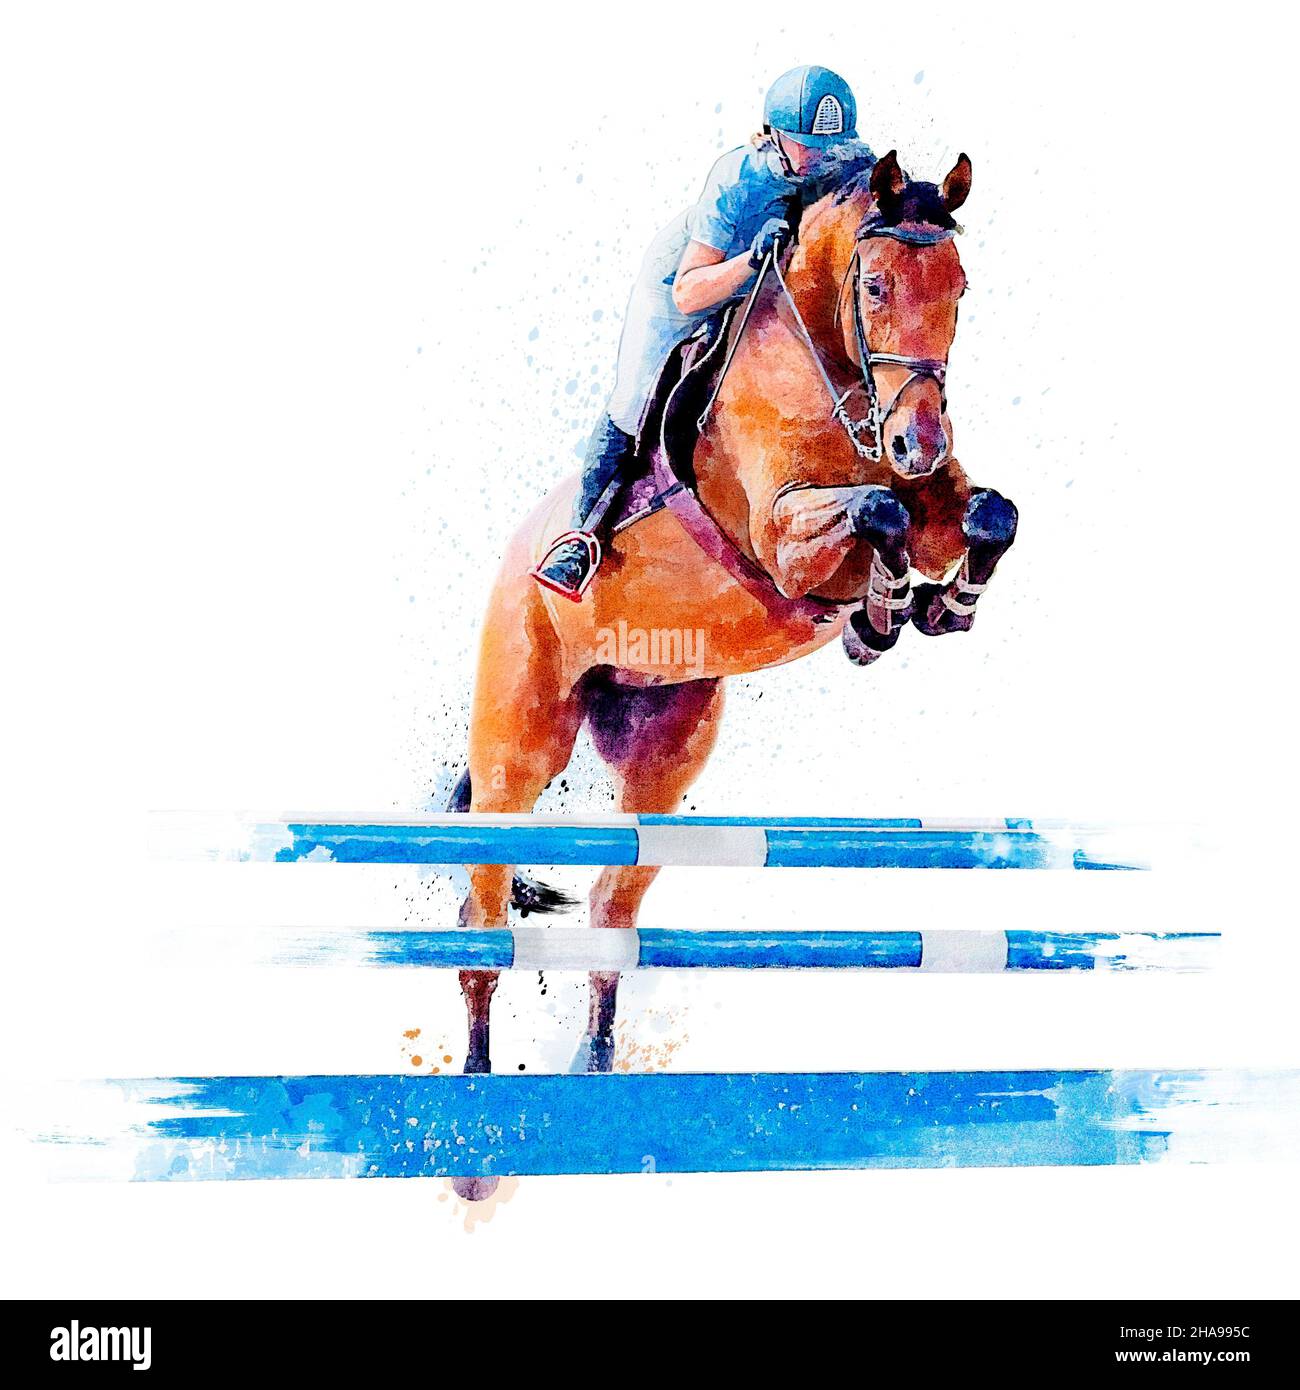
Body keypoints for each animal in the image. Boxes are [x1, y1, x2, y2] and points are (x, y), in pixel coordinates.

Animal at [448, 151, 1017, 1196]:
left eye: (960, 289)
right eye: (876, 286)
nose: (921, 441)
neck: (837, 374)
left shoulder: (935, 500)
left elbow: (986, 513)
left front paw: (934, 606)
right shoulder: (782, 541)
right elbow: (872, 512)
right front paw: (881, 612)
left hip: (662, 758)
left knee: (611, 914)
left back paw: (594, 1080)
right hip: (517, 742)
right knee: (483, 913)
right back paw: (474, 1135)